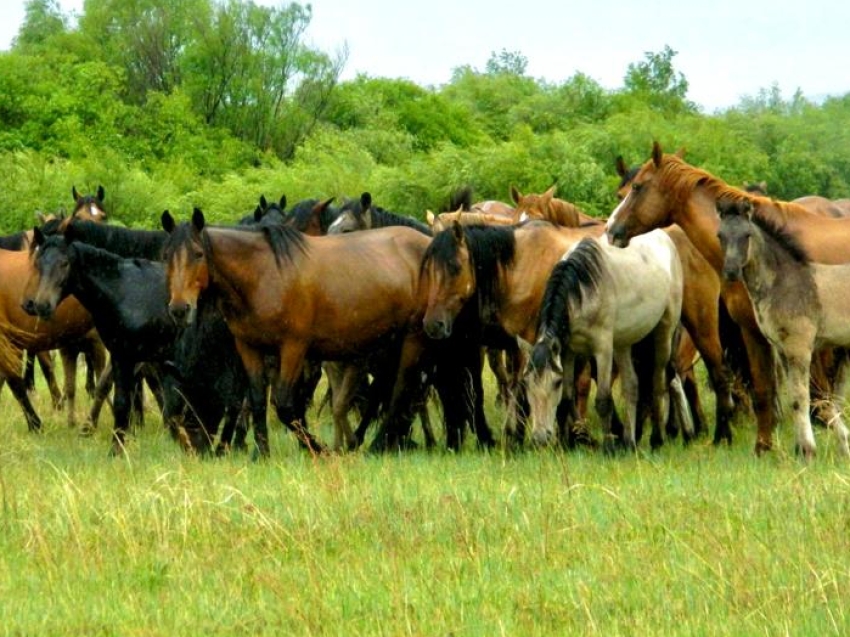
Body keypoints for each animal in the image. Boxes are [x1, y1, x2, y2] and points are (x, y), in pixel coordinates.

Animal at [520, 229, 684, 452]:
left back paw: (657, 440)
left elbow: (603, 401)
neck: (583, 291)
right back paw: (629, 442)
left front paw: (608, 448)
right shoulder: (568, 350)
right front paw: (565, 445)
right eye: (526, 382)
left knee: (658, 382)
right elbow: (566, 399)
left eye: (555, 382)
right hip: (624, 342)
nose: (539, 438)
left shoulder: (603, 349)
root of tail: (665, 237)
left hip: (664, 333)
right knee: (632, 385)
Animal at [716, 198, 848, 458]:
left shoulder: (799, 348)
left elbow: (802, 397)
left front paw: (808, 451)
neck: (785, 283)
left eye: (747, 235)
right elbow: (796, 400)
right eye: (720, 235)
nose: (731, 272)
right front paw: (803, 449)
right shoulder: (782, 350)